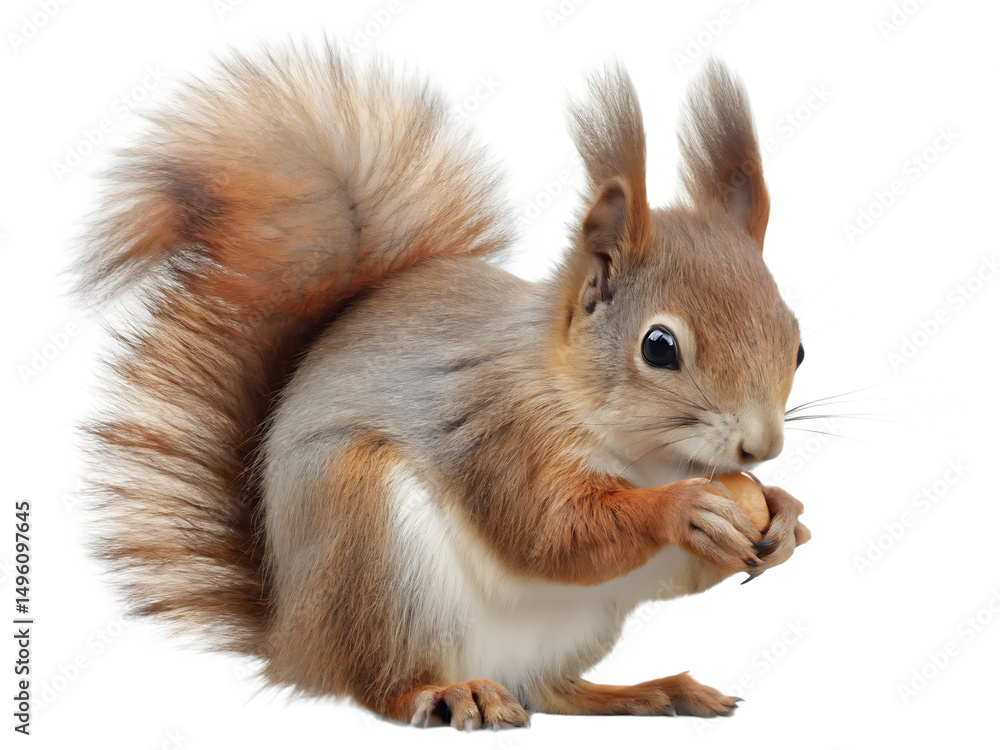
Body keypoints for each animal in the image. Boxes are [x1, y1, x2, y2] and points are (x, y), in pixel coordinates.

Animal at [75, 43, 810, 728]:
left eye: (799, 344)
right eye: (659, 347)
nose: (762, 448)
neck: (649, 457)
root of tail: (293, 641)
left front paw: (785, 516)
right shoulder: (499, 428)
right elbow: (550, 531)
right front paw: (682, 510)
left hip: (580, 623)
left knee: (549, 690)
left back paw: (650, 691)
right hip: (373, 544)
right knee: (385, 686)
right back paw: (451, 692)